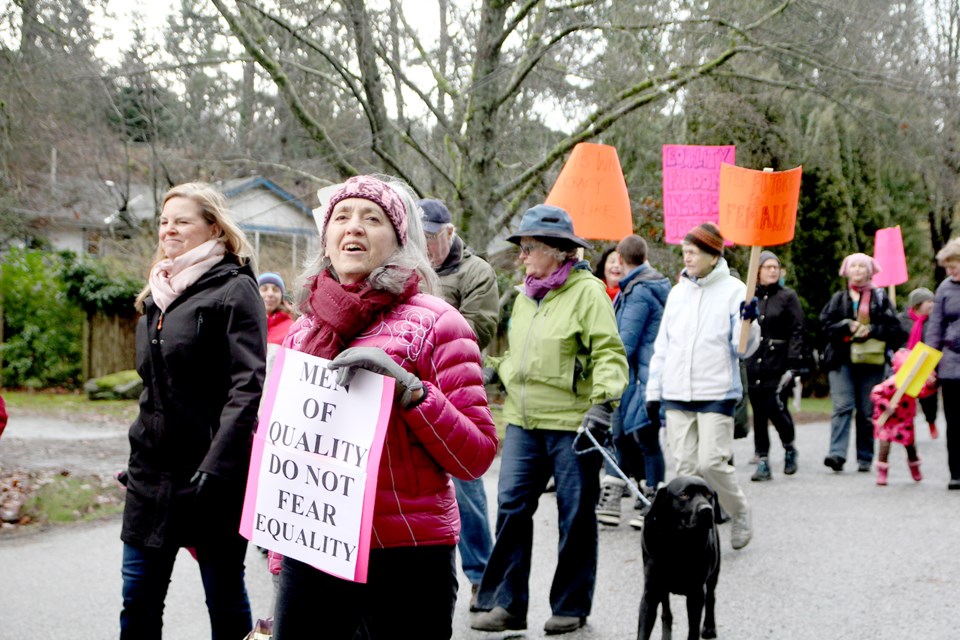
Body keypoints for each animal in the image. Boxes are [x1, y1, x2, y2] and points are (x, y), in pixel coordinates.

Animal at [636, 476, 720, 640]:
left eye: (708, 494)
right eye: (684, 495)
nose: (707, 510)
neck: (677, 543)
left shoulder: (696, 594)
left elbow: (693, 631)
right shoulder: (650, 594)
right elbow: (643, 632)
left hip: (714, 571)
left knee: (711, 596)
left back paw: (709, 627)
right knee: (666, 613)